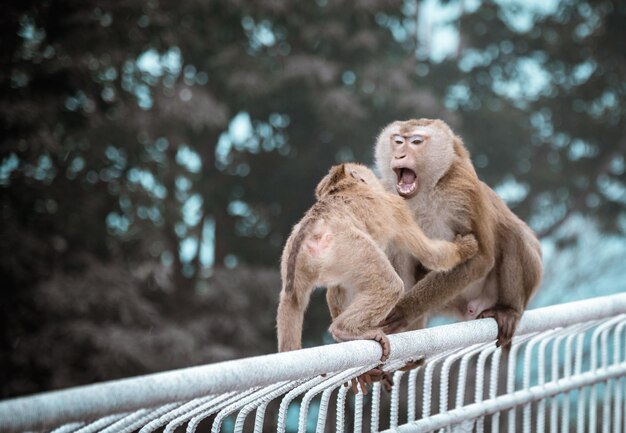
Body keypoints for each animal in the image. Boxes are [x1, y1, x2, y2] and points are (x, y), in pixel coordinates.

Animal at [276, 162, 476, 358]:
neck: (344, 187)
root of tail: (315, 222)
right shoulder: (397, 206)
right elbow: (428, 253)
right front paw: (464, 248)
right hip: (351, 246)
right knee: (390, 284)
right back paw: (344, 329)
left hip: (297, 257)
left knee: (293, 300)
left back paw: (290, 350)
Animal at [370, 118, 540, 348]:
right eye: (397, 141)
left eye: (415, 142)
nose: (399, 155)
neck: (425, 192)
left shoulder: (463, 190)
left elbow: (480, 256)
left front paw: (405, 309)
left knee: (514, 235)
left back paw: (508, 310)